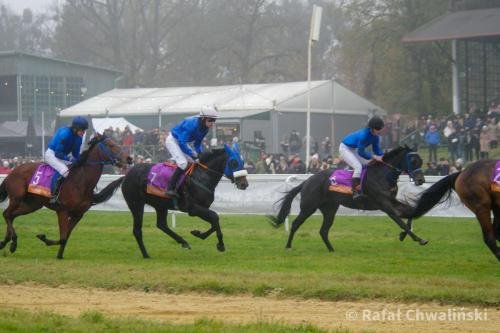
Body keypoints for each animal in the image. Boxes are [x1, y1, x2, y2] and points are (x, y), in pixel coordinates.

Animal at [0, 134, 132, 258]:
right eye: (110, 145)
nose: (129, 158)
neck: (80, 181)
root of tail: (11, 173)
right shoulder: (62, 210)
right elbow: (63, 237)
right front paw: (43, 238)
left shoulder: (78, 214)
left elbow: (66, 237)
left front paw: (59, 255)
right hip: (17, 198)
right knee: (6, 214)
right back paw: (13, 242)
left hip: (32, 205)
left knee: (12, 215)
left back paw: (6, 242)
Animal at [121, 143, 250, 256]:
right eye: (233, 162)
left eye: (243, 162)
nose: (244, 184)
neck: (201, 176)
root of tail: (126, 175)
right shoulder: (193, 208)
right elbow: (215, 217)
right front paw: (220, 245)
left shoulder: (201, 208)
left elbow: (214, 222)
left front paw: (198, 234)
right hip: (136, 204)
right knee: (137, 230)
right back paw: (145, 254)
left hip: (160, 205)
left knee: (161, 225)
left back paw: (183, 242)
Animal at [270, 145, 426, 249]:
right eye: (413, 160)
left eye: (421, 161)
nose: (420, 180)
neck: (383, 175)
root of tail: (307, 181)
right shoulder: (384, 204)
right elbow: (400, 221)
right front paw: (419, 239)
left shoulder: (392, 200)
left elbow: (411, 213)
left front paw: (403, 235)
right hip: (309, 207)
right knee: (296, 224)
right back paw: (288, 246)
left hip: (330, 209)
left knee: (323, 230)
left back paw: (332, 250)